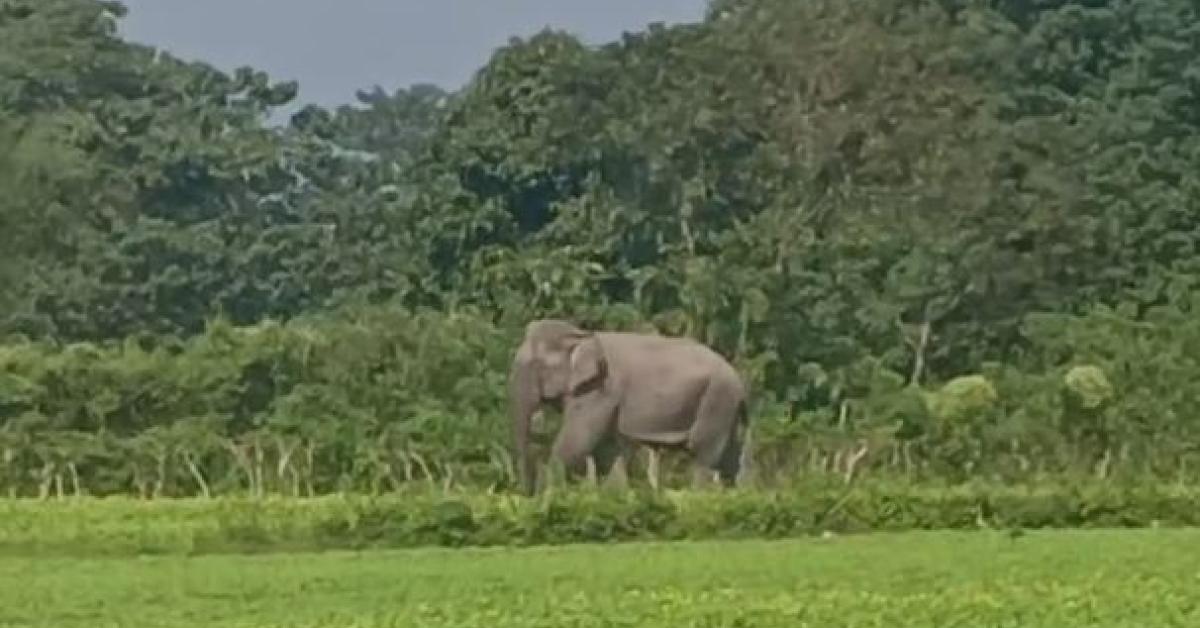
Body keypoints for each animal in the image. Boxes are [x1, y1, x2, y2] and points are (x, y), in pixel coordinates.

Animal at [507, 318, 751, 495]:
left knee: (703, 453)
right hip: (725, 407)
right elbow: (608, 450)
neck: (581, 334)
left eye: (537, 365)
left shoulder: (601, 390)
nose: (524, 494)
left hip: (717, 399)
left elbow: (578, 440)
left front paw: (547, 495)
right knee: (730, 457)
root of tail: (738, 380)